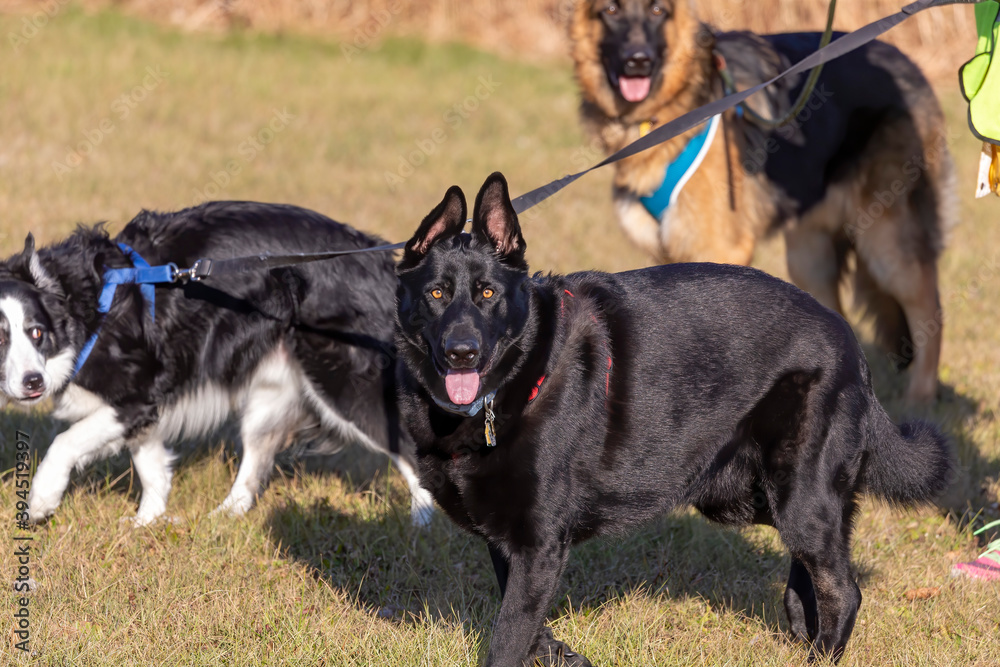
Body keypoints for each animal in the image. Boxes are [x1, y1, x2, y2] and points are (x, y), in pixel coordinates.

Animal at [394, 174, 948, 667]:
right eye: (437, 294)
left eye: (487, 294)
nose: (462, 353)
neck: (521, 373)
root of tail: (849, 341)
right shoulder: (512, 544)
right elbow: (525, 624)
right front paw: (556, 653)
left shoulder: (538, 544)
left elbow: (508, 638)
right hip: (747, 494)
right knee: (818, 558)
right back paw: (799, 626)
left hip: (794, 493)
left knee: (843, 588)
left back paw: (821, 654)